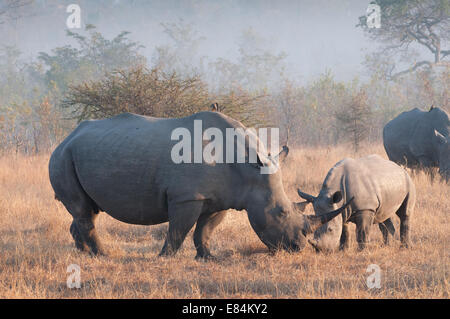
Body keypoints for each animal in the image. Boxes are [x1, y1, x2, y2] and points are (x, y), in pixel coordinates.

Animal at [50, 112, 352, 260]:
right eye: (281, 213)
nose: (298, 247)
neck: (248, 168)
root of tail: (66, 137)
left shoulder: (222, 198)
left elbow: (204, 230)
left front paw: (208, 257)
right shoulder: (187, 197)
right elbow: (178, 229)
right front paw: (166, 258)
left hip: (77, 153)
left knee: (86, 209)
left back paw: (85, 253)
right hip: (63, 156)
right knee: (83, 210)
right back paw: (102, 255)